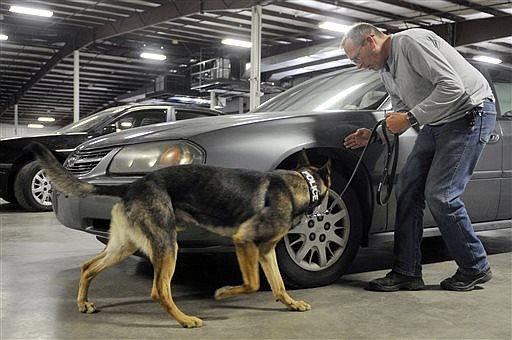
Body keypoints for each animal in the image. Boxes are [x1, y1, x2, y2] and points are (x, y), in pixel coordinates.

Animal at [27, 142, 332, 328]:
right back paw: (185, 320)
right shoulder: (243, 241)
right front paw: (223, 293)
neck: (300, 184)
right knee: (159, 290)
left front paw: (291, 303)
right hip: (167, 246)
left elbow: (278, 285)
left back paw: (83, 303)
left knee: (88, 267)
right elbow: (253, 284)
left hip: (123, 246)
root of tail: (132, 186)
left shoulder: (265, 251)